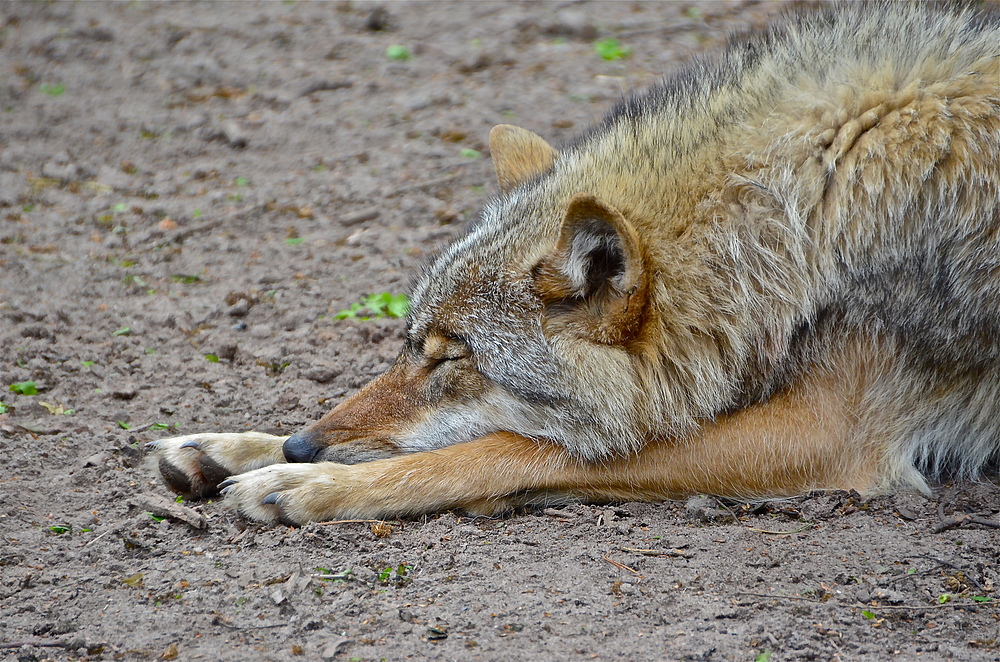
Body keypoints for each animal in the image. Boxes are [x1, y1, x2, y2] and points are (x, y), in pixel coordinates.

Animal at [148, 2, 1000, 528]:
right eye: (408, 347)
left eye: (453, 359)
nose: (303, 449)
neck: (806, 208)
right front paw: (239, 449)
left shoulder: (829, 433)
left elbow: (504, 448)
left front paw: (307, 485)